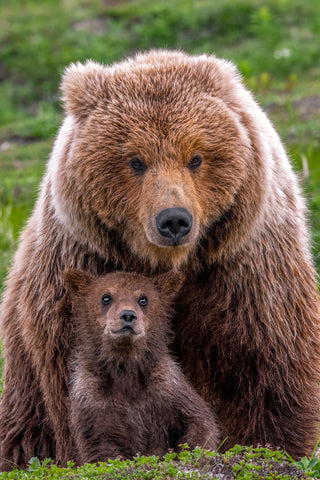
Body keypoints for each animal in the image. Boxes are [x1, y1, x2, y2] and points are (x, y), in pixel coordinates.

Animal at [0, 49, 320, 468]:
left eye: (196, 157)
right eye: (136, 160)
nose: (174, 220)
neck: (168, 262)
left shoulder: (242, 267)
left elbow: (266, 362)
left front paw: (269, 445)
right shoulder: (83, 263)